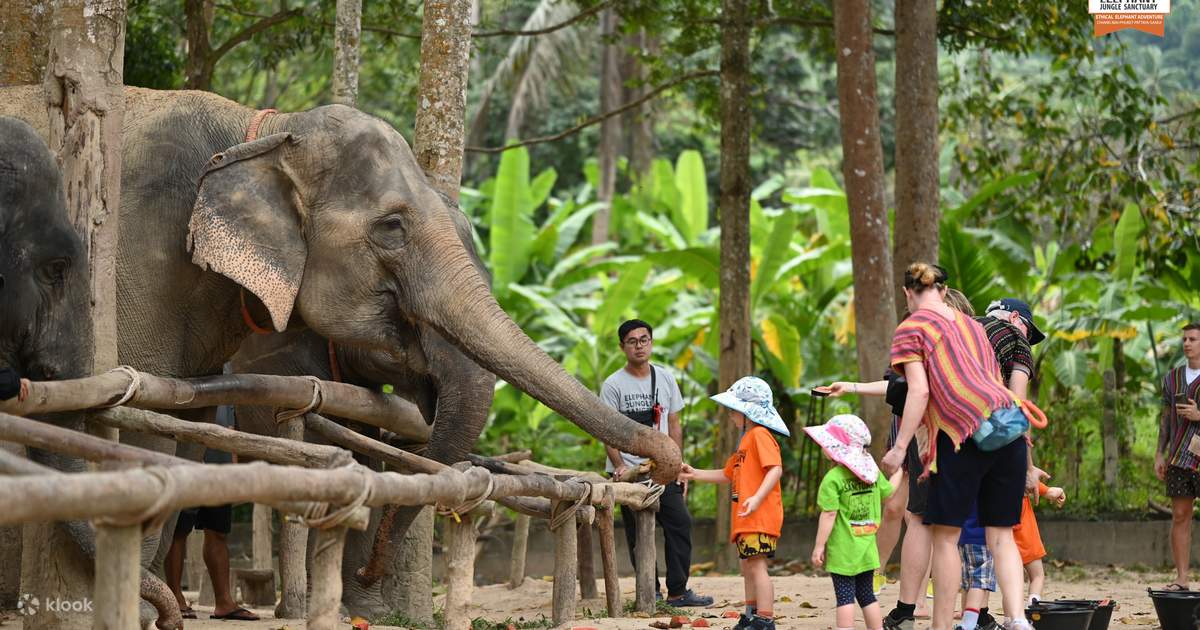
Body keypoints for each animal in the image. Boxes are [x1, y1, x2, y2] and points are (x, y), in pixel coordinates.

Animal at [0, 87, 680, 626]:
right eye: (392, 228)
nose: (665, 463)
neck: (263, 130)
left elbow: (193, 428)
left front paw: (364, 607)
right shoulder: (151, 267)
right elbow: (147, 431)